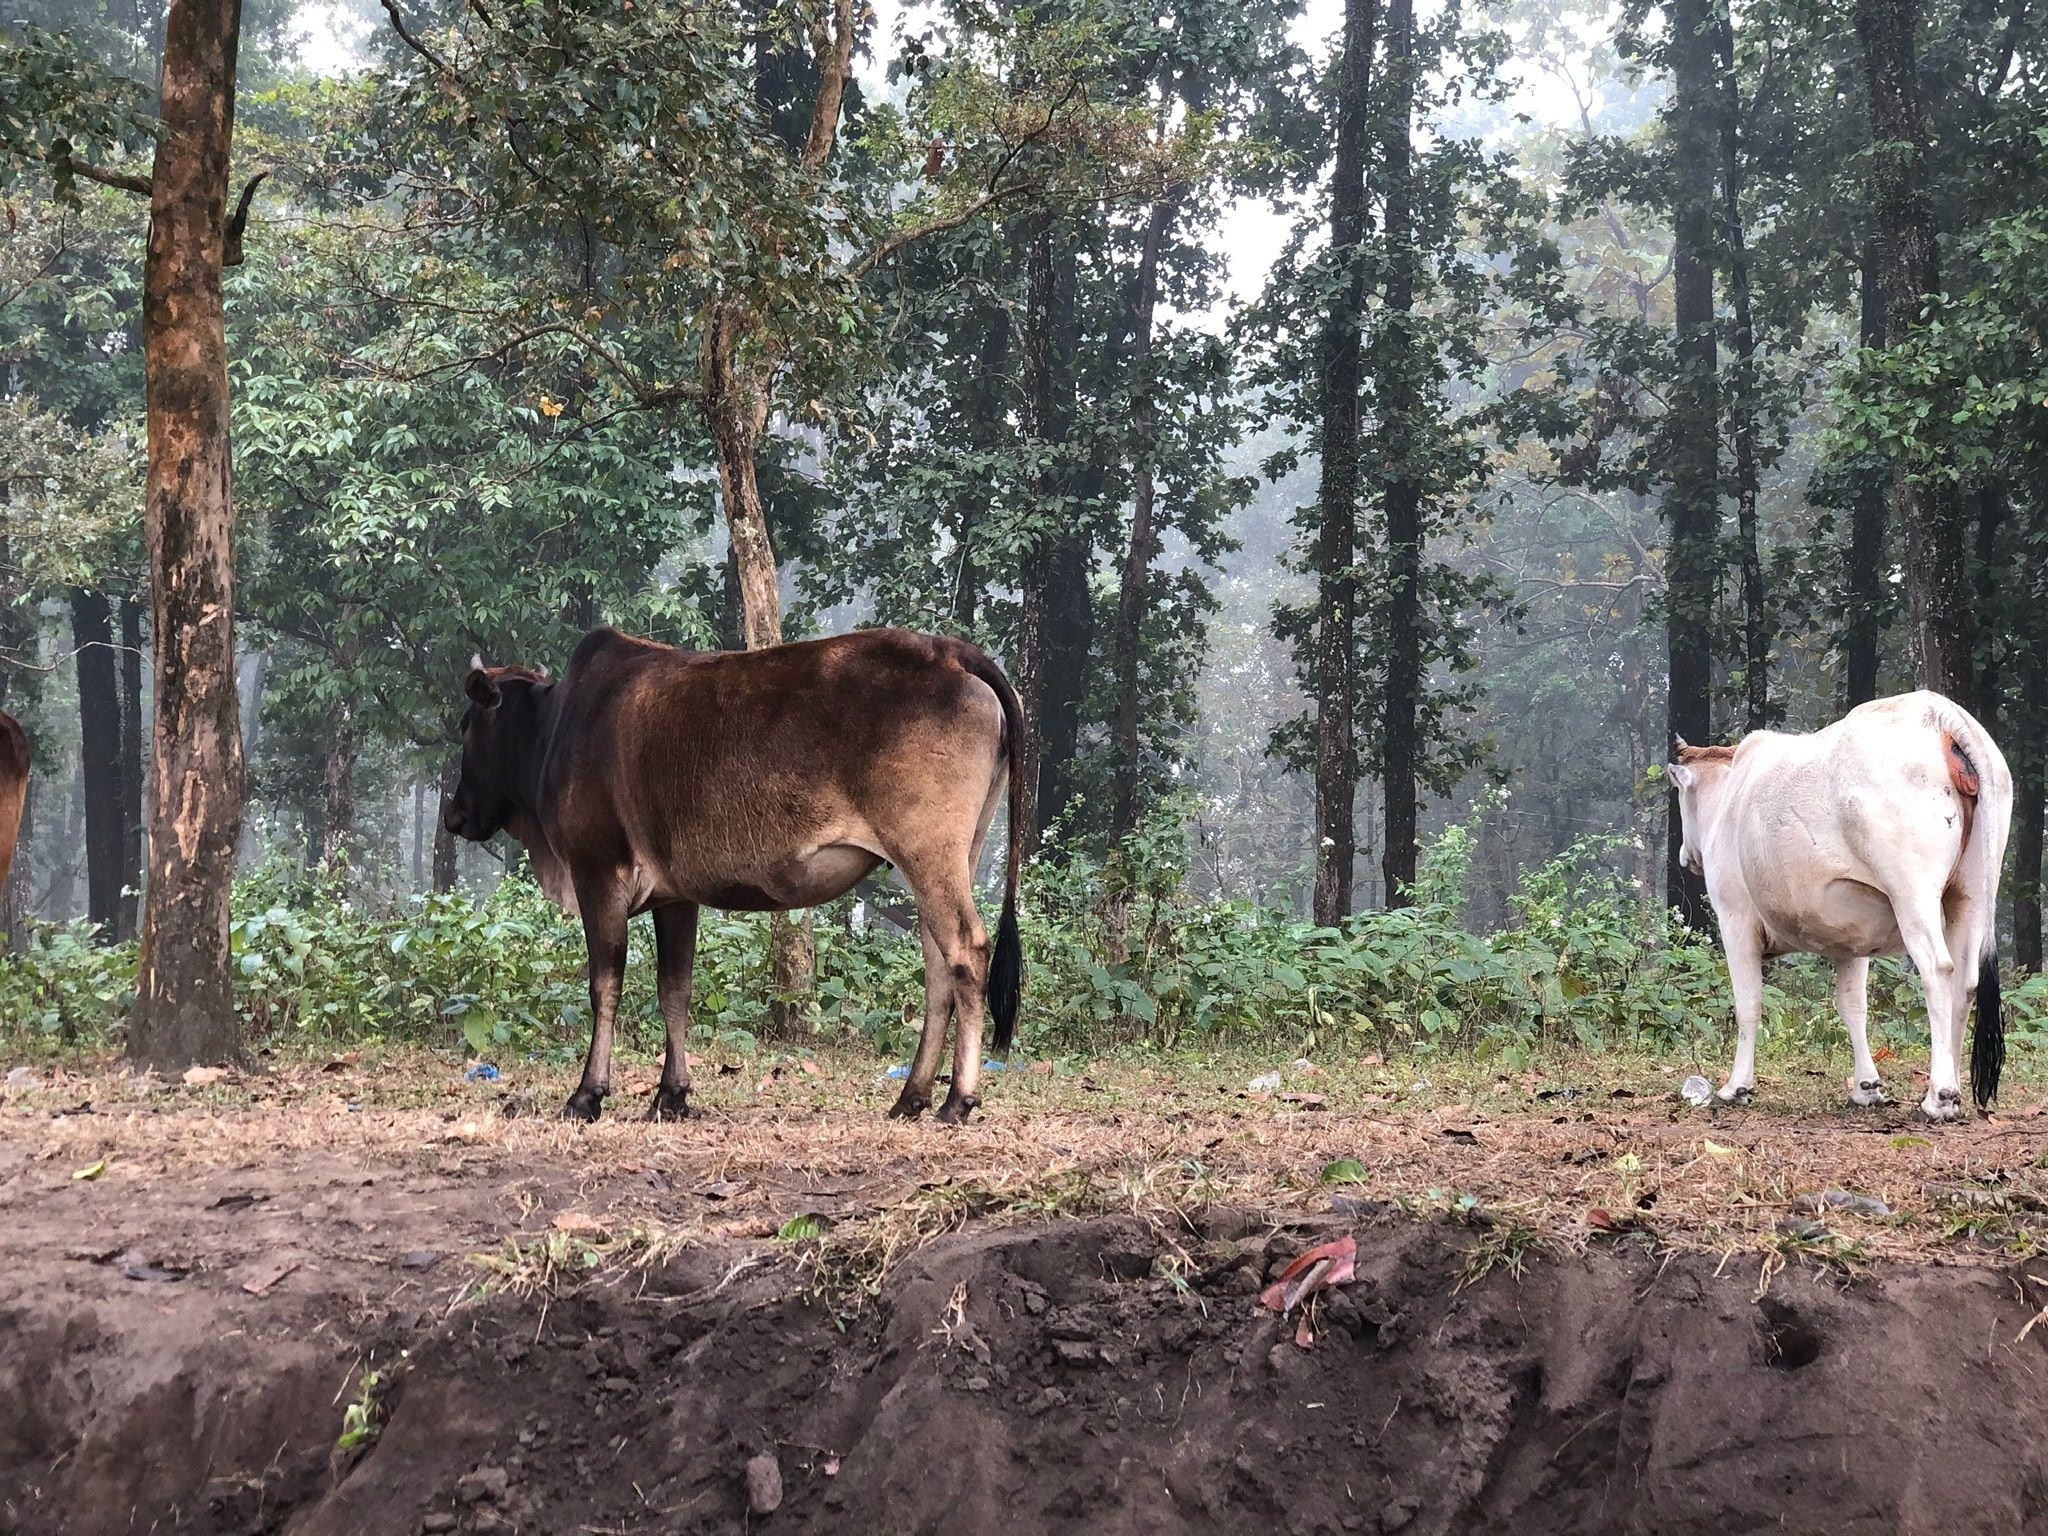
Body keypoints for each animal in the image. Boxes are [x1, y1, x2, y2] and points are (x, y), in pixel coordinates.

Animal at [444, 626, 1023, 1125]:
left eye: (467, 727)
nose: (454, 815)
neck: (554, 727)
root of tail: (951, 651)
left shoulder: (597, 871)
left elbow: (604, 984)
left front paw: (587, 1095)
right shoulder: (675, 896)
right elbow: (674, 989)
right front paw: (671, 1095)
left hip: (927, 850)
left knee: (966, 951)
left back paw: (957, 1100)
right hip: (953, 855)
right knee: (938, 967)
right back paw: (911, 1096)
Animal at [1666, 691, 2011, 1121]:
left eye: (1682, 797)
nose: (1686, 855)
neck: (1734, 794)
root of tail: (1939, 714)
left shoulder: (1735, 918)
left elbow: (1748, 1002)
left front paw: (1736, 1087)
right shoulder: (1851, 940)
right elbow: (1853, 1006)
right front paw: (1866, 1088)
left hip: (1913, 893)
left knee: (1939, 970)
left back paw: (1938, 1096)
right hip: (1971, 895)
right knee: (1965, 981)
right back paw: (1952, 1095)